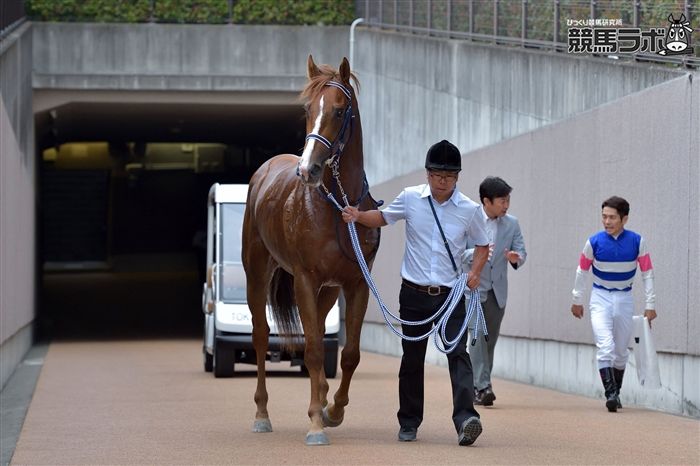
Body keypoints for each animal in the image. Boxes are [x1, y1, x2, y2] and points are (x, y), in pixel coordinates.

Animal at [242, 56, 382, 446]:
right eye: (307, 109)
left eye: (339, 110)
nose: (308, 169)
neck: (338, 207)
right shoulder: (305, 279)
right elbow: (315, 349)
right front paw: (317, 424)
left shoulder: (356, 284)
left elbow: (348, 354)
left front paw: (332, 410)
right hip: (257, 272)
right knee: (261, 335)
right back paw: (262, 415)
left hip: (329, 289)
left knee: (316, 330)